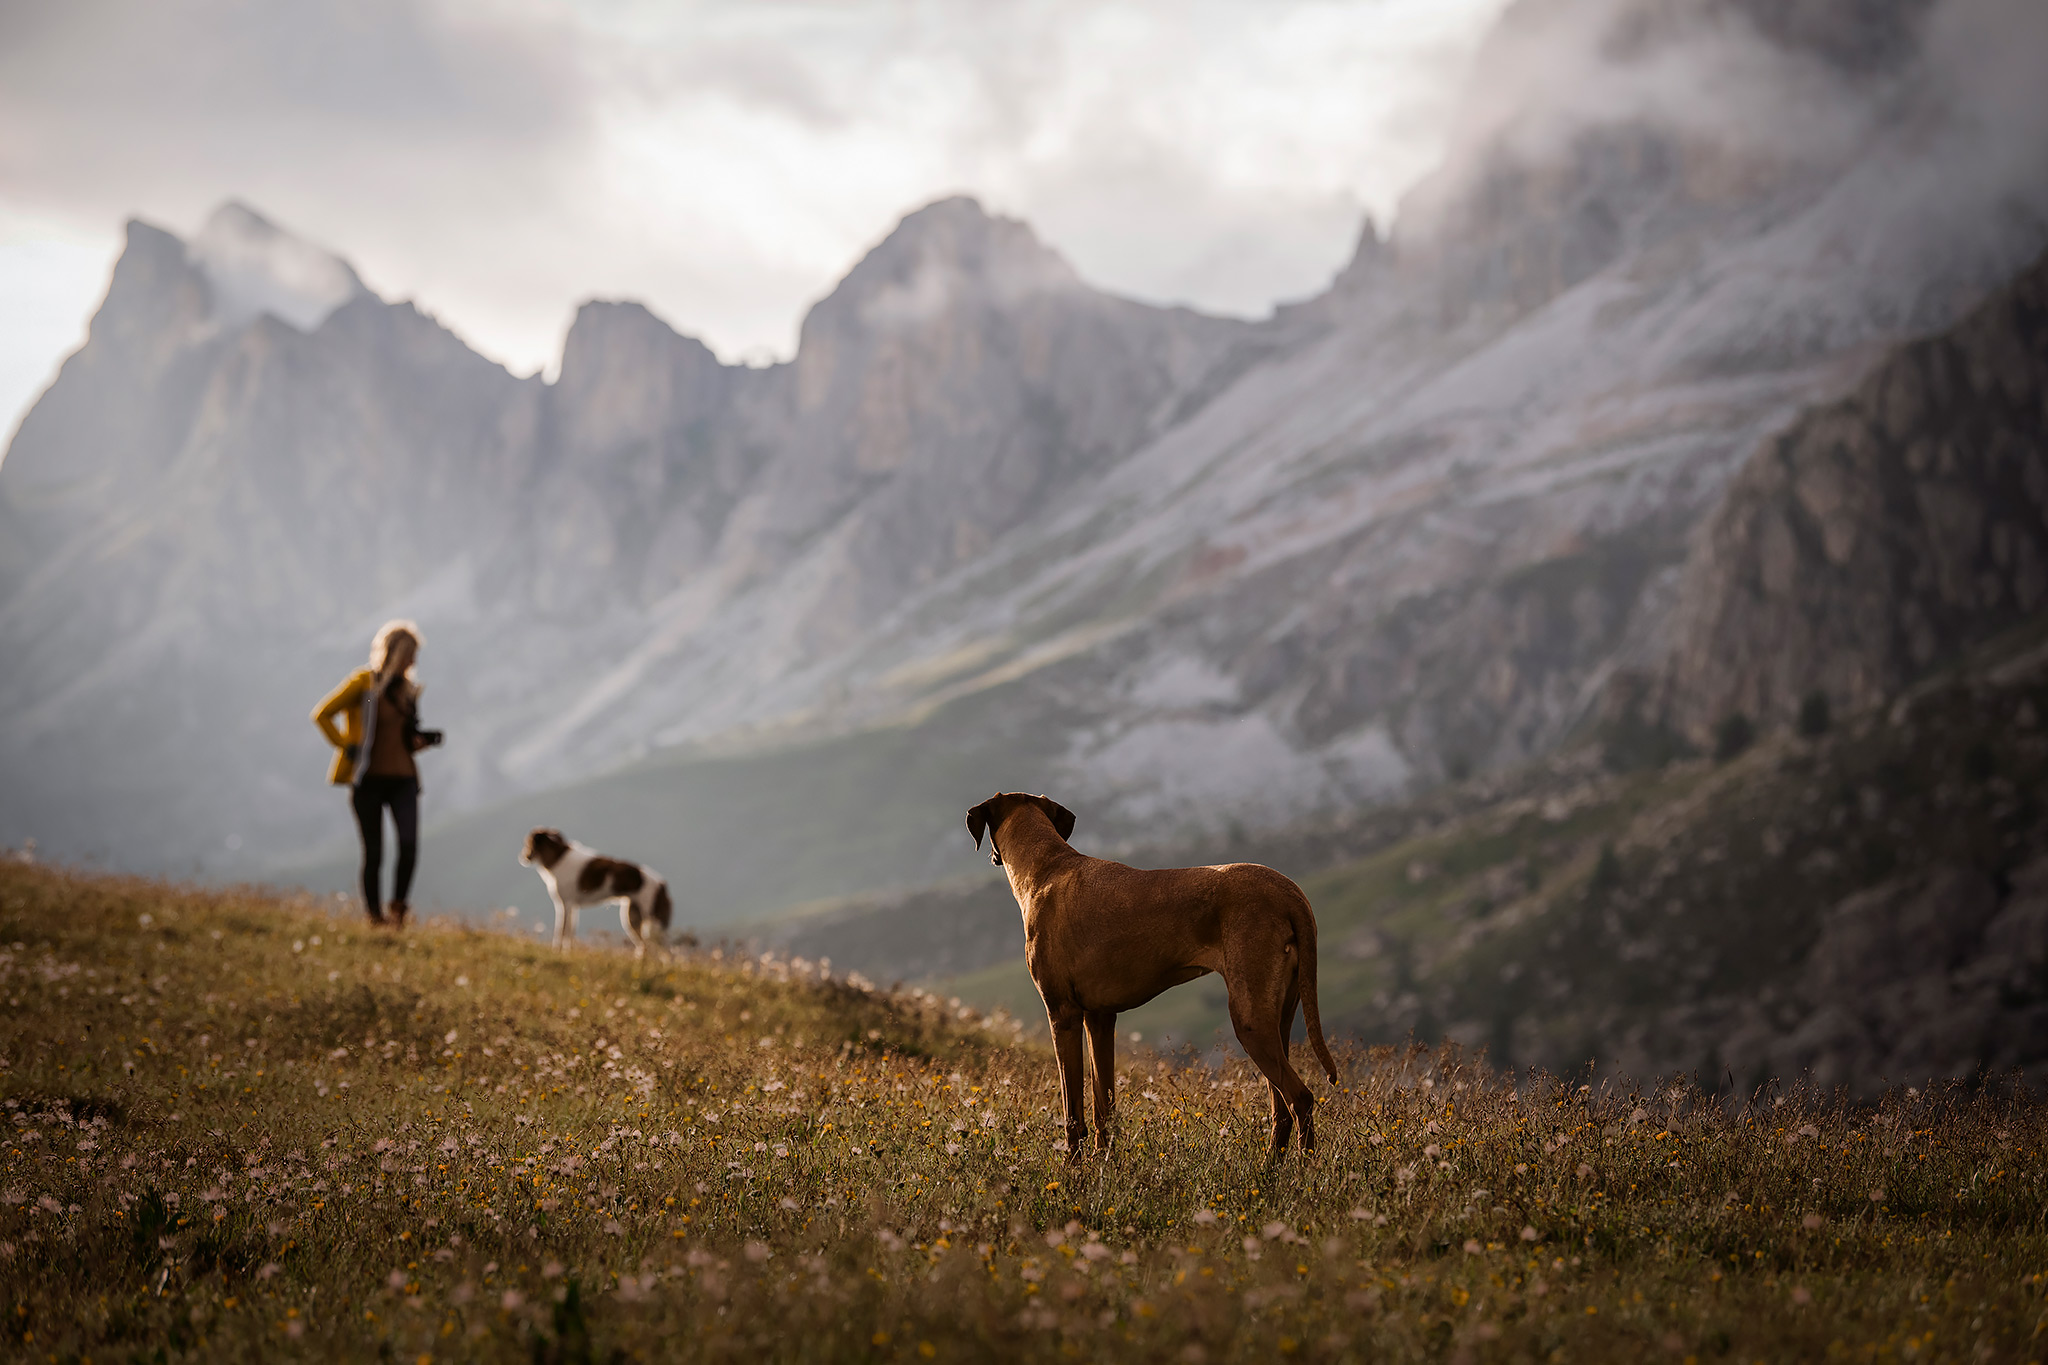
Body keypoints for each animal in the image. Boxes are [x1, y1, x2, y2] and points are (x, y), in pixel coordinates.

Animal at [520, 826, 671, 957]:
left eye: (527, 842)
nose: (523, 857)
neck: (557, 858)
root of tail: (662, 885)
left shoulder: (565, 904)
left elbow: (561, 931)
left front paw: (558, 952)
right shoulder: (572, 907)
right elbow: (570, 931)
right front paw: (567, 953)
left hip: (654, 923)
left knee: (663, 950)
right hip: (632, 918)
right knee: (646, 946)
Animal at [966, 789, 1335, 1162]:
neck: (1046, 866)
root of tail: (1288, 891)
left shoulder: (1062, 1014)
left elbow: (1073, 1112)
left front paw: (1072, 1167)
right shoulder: (1100, 1018)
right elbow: (1103, 1105)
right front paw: (1104, 1163)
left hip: (1250, 1021)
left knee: (1300, 1098)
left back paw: (1301, 1168)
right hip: (1278, 1018)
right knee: (1281, 1105)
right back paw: (1270, 1166)